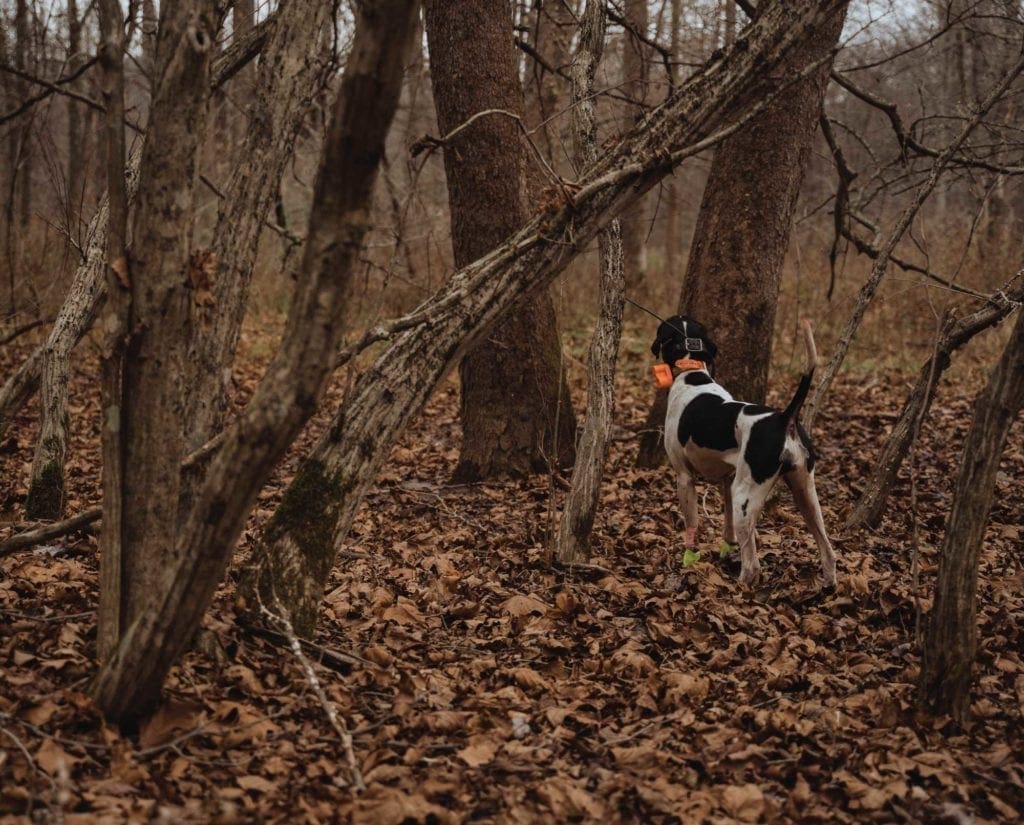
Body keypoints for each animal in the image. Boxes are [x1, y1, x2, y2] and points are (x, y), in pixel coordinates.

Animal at [651, 317, 835, 589]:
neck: (691, 371)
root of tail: (785, 419)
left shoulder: (684, 477)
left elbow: (692, 525)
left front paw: (690, 560)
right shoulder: (727, 479)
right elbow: (727, 526)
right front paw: (727, 547)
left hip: (745, 498)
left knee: (752, 566)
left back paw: (739, 587)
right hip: (805, 494)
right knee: (828, 551)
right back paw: (827, 587)